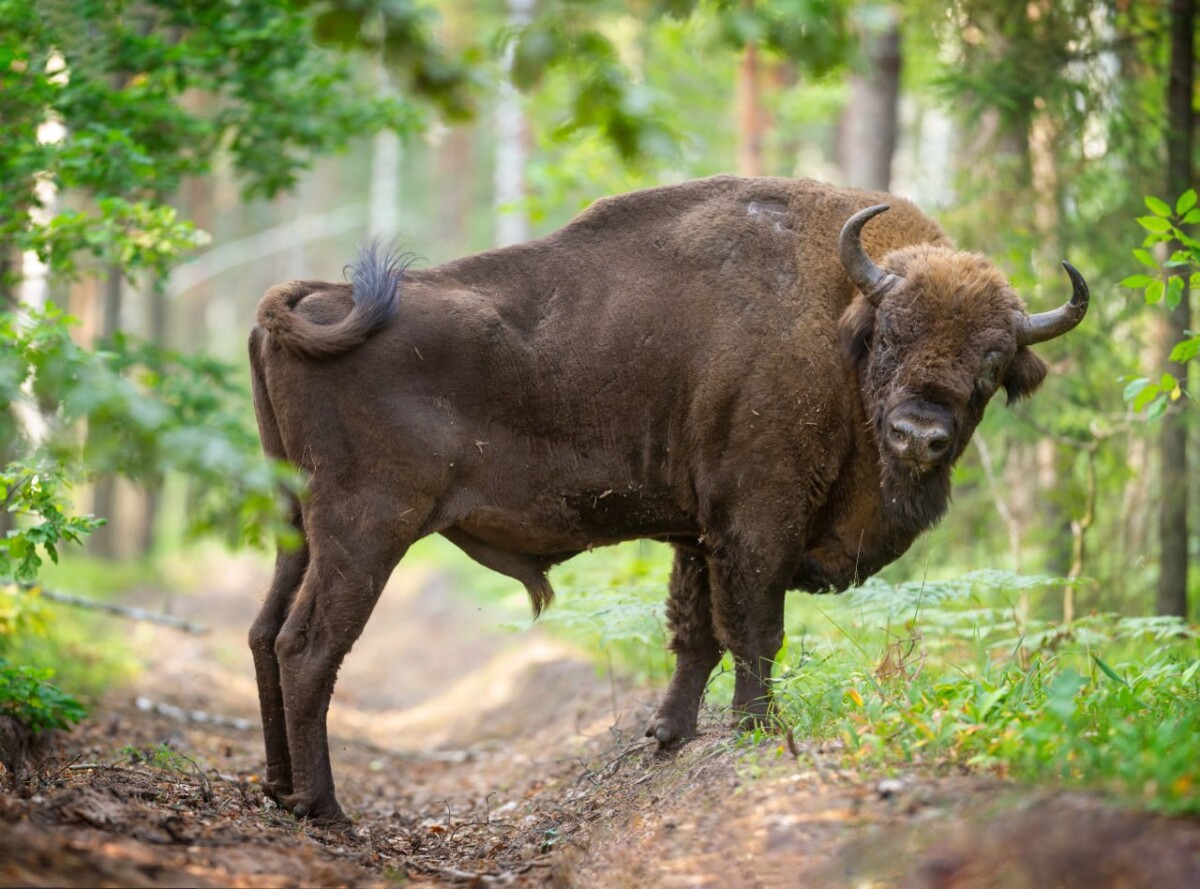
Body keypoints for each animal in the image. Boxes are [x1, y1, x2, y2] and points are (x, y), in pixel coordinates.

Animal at [246, 173, 1089, 820]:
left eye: (991, 363)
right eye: (891, 334)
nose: (920, 436)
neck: (836, 320)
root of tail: (314, 298)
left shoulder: (697, 537)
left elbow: (697, 634)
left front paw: (669, 733)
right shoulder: (755, 524)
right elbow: (755, 630)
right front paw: (758, 728)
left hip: (297, 525)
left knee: (263, 632)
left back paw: (281, 789)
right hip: (367, 529)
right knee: (309, 645)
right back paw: (326, 807)